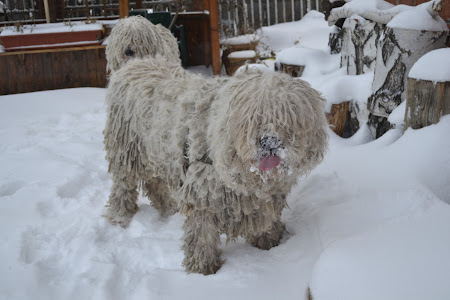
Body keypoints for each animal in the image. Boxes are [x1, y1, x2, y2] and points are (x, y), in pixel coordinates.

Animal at [103, 55, 328, 274]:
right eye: (253, 117)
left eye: (288, 115)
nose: (270, 141)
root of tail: (136, 62)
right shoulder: (203, 194)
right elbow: (201, 236)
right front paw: (203, 268)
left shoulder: (262, 201)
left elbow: (266, 220)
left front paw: (271, 243)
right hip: (127, 148)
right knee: (123, 186)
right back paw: (120, 217)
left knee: (155, 183)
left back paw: (168, 208)